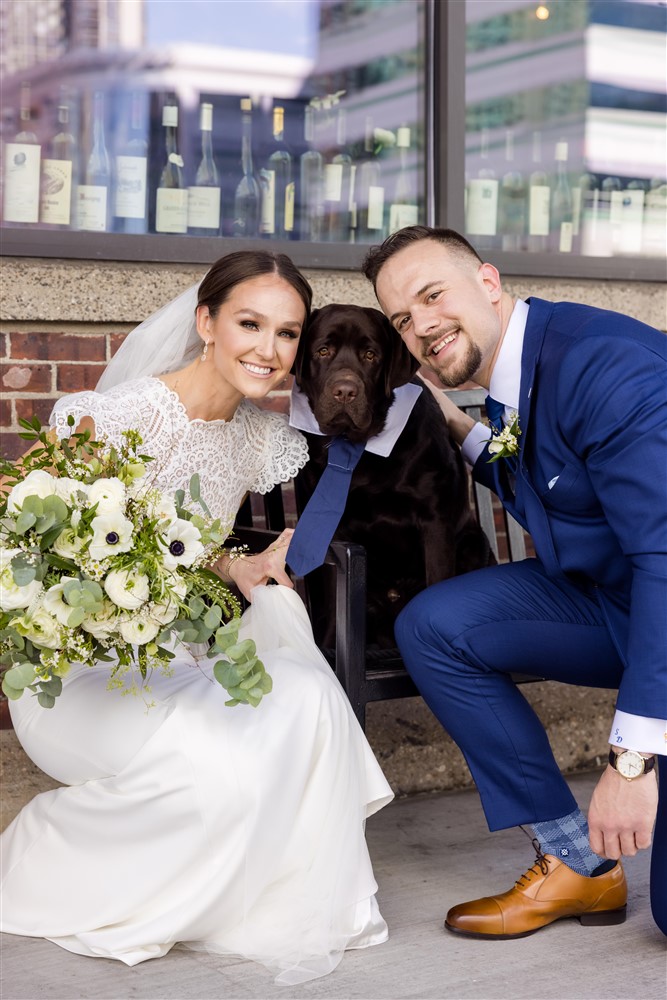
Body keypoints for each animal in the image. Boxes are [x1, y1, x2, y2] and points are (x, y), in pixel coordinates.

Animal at [294, 300, 496, 652]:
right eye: (323, 350)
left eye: (370, 355)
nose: (345, 391)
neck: (361, 450)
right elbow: (331, 602)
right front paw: (328, 649)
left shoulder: (435, 522)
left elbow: (437, 579)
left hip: (474, 543)